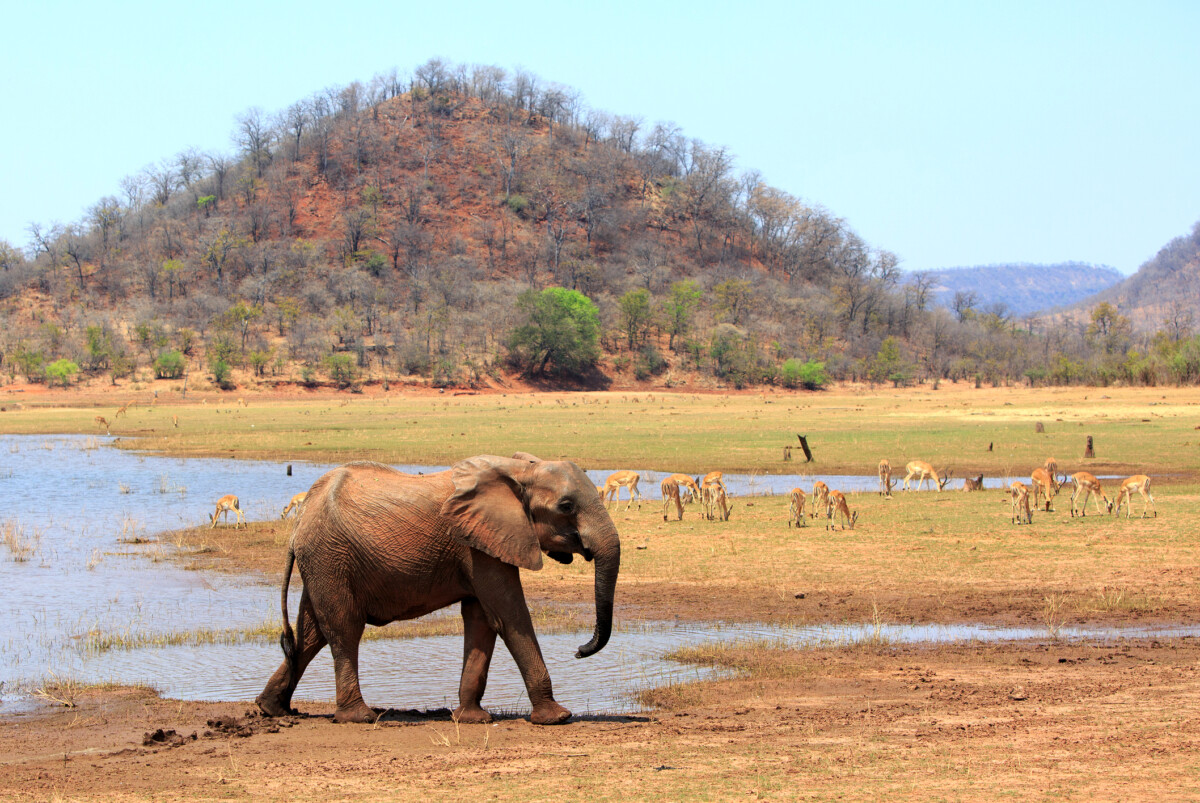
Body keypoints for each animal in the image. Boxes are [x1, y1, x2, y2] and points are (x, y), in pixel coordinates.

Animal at [258, 451, 624, 724]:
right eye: (566, 507)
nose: (578, 651)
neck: (519, 470)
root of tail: (299, 519)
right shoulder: (477, 543)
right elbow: (509, 616)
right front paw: (557, 717)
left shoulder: (480, 542)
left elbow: (482, 620)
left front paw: (472, 719)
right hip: (329, 556)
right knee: (343, 627)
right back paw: (360, 717)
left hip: (323, 561)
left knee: (311, 633)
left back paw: (273, 709)